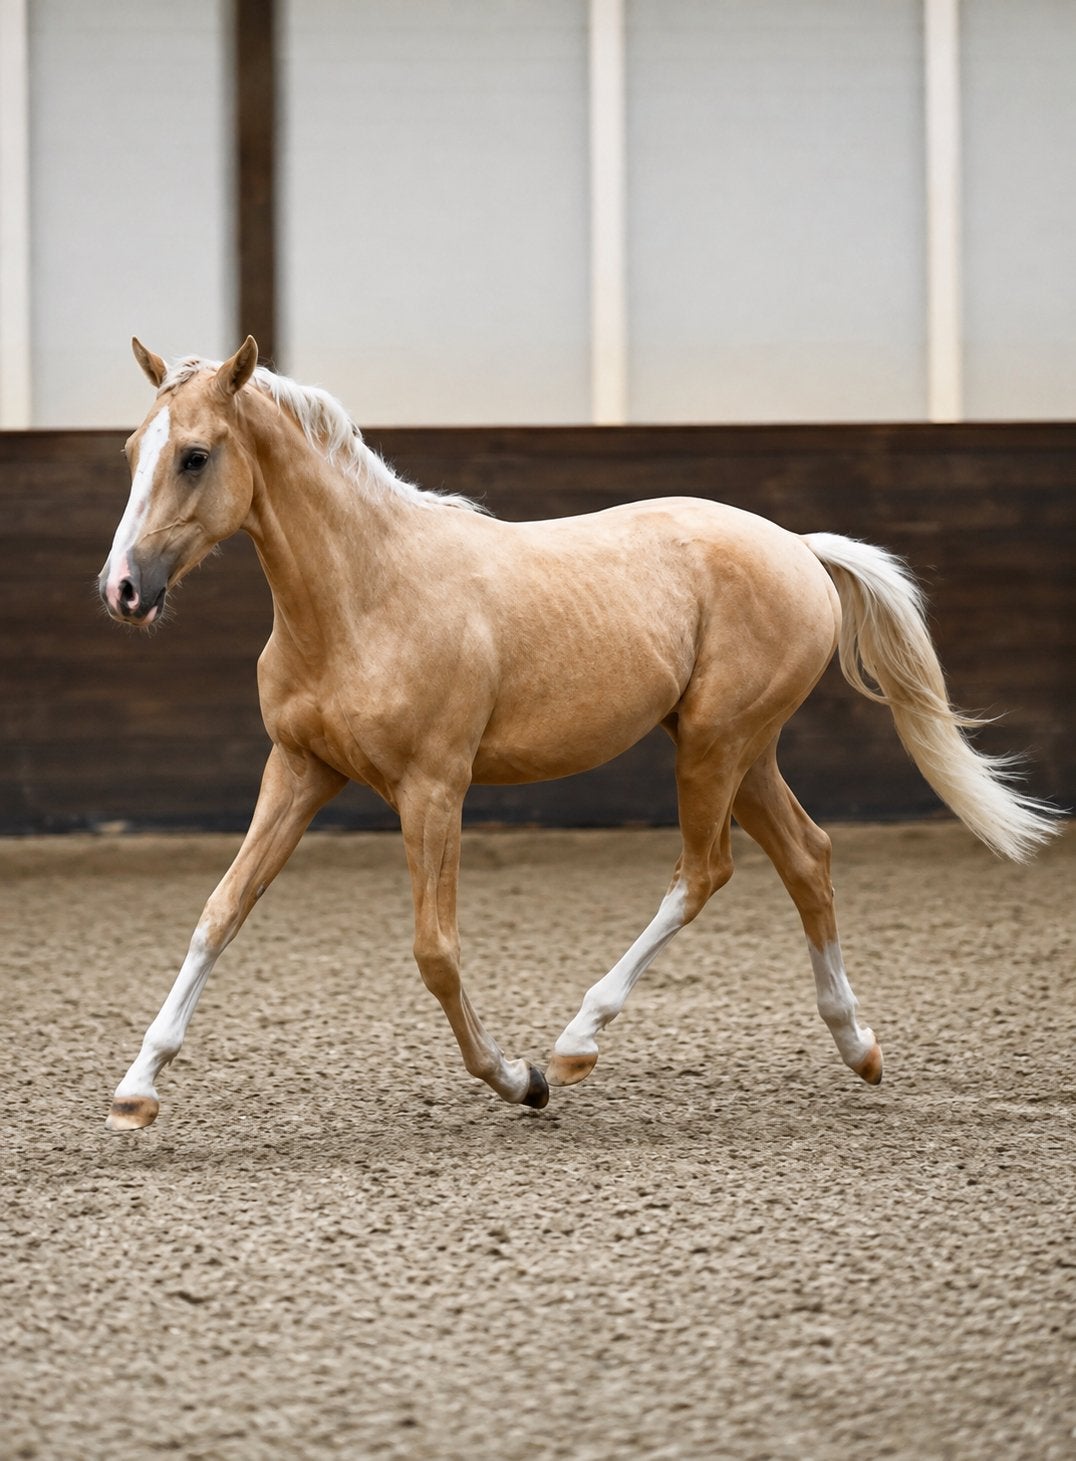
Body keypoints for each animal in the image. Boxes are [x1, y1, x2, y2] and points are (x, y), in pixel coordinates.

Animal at [98, 336, 1057, 1130]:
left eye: (194, 455)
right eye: (132, 452)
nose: (123, 589)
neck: (364, 596)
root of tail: (798, 546)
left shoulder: (433, 788)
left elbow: (435, 952)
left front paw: (520, 1079)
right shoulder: (298, 771)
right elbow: (219, 912)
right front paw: (135, 1093)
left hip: (714, 744)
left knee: (704, 871)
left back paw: (575, 1043)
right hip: (742, 751)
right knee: (807, 856)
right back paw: (858, 1047)